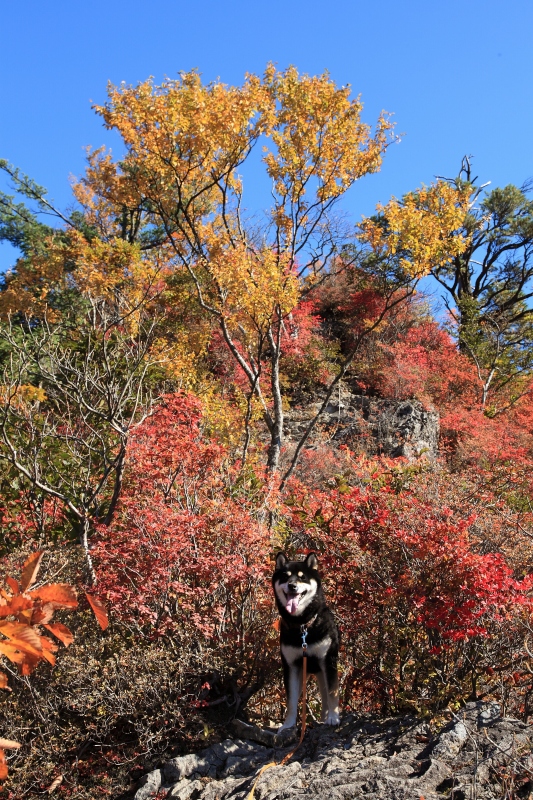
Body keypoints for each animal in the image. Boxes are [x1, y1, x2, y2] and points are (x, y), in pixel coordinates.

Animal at [272, 552, 338, 732]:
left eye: (302, 577)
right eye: (285, 577)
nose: (292, 586)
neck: (302, 625)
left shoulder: (328, 660)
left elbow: (332, 693)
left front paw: (333, 718)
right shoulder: (291, 666)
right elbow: (291, 701)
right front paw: (287, 725)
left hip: (322, 671)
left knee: (325, 695)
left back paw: (326, 717)